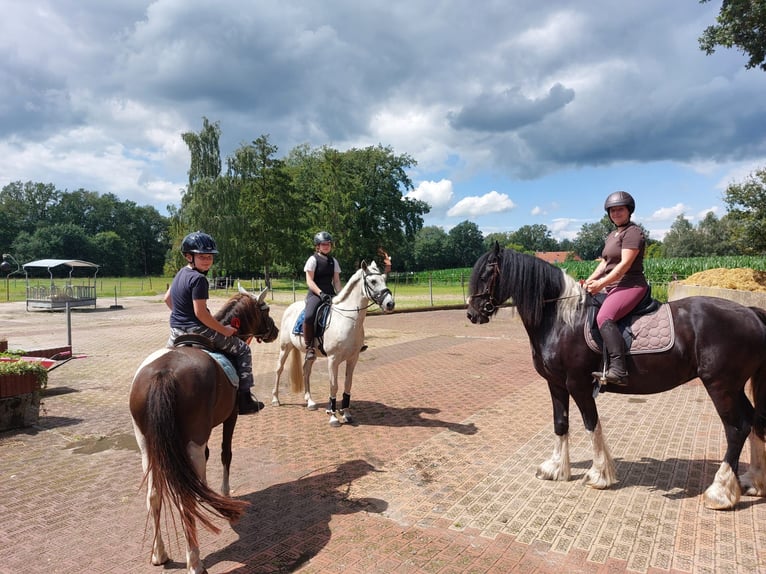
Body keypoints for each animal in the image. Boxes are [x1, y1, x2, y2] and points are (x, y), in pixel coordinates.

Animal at [129, 288, 280, 574]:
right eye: (264, 311)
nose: (275, 331)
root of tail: (163, 373)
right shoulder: (230, 418)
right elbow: (225, 454)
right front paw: (223, 494)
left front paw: (206, 491)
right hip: (192, 442)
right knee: (184, 499)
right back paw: (195, 561)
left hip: (147, 446)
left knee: (154, 496)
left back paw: (159, 553)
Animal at [272, 260, 396, 428]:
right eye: (373, 281)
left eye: (384, 278)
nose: (390, 304)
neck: (347, 320)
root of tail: (290, 308)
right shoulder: (333, 360)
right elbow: (333, 386)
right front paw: (333, 416)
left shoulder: (353, 359)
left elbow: (347, 384)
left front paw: (346, 413)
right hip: (285, 348)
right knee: (279, 369)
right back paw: (275, 399)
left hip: (311, 354)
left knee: (306, 370)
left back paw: (310, 401)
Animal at [464, 245, 766, 510]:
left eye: (486, 273)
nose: (472, 314)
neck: (563, 320)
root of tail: (751, 312)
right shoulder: (556, 384)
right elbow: (561, 423)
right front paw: (555, 469)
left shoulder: (578, 384)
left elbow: (591, 424)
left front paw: (599, 474)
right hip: (734, 387)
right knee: (753, 421)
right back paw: (752, 481)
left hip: (720, 386)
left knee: (736, 428)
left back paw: (721, 492)